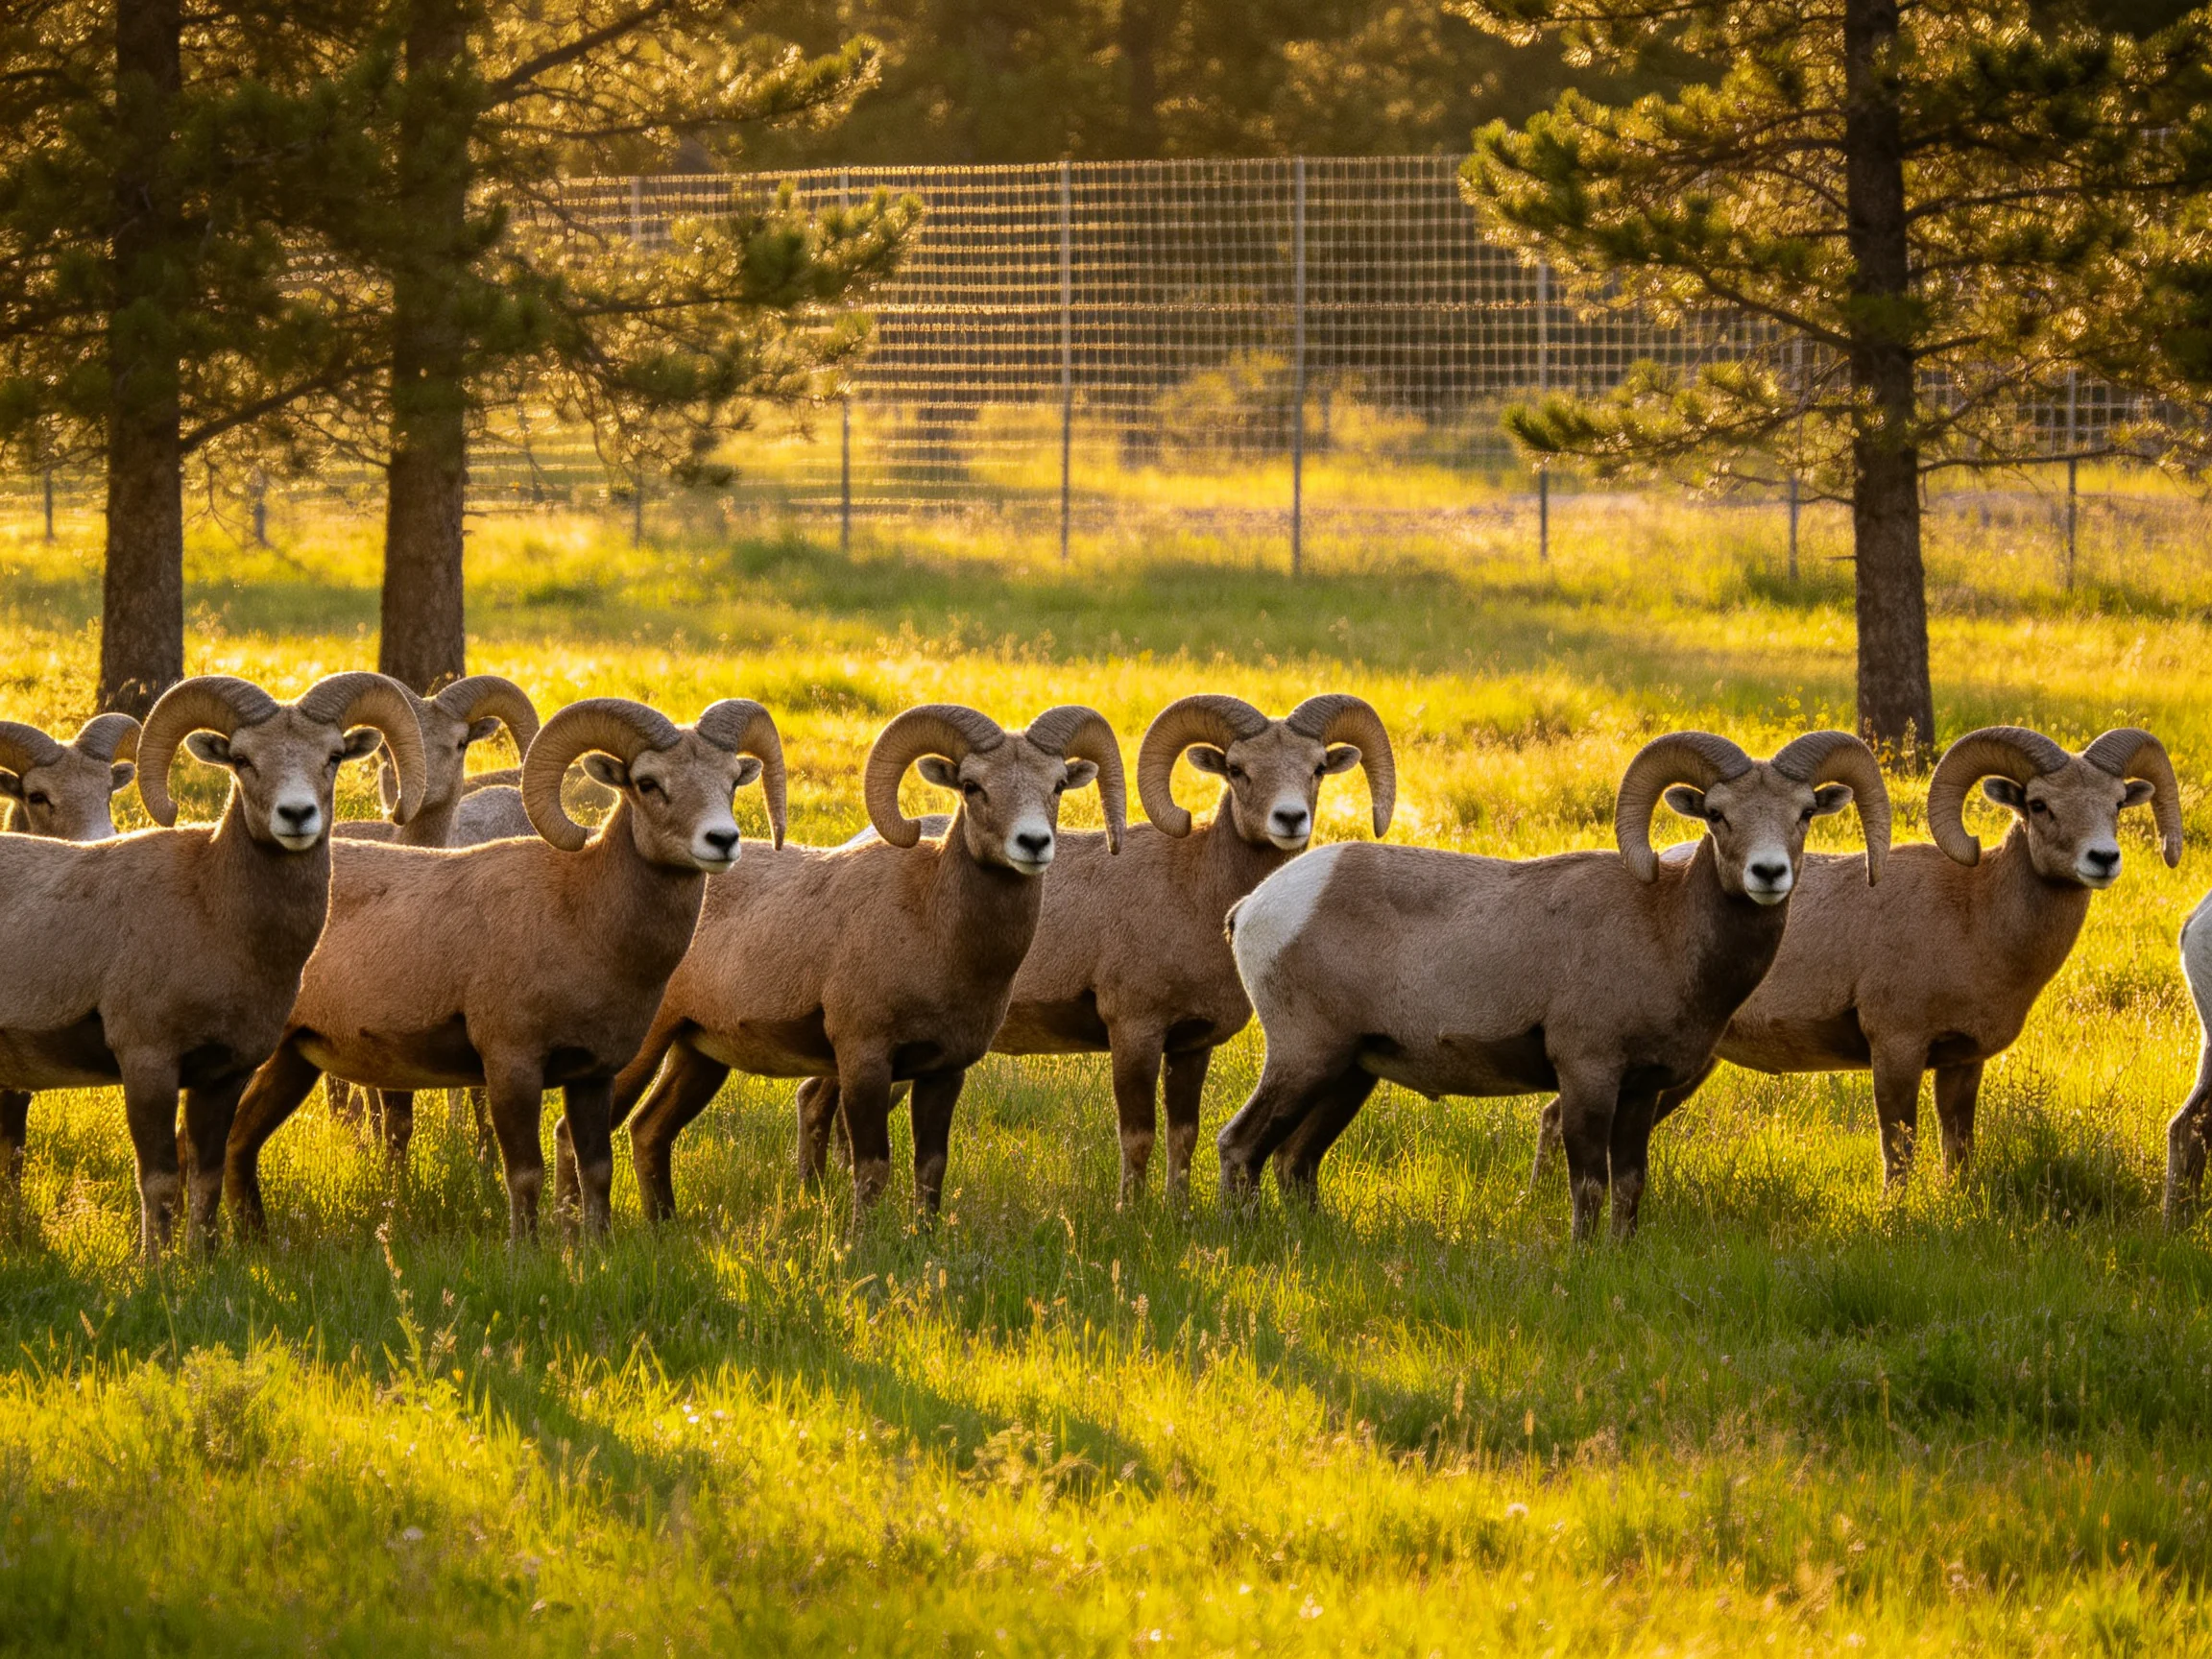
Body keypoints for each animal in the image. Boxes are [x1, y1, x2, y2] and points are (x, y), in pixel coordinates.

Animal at [222, 696, 787, 1241]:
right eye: (648, 783)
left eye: (731, 780)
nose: (723, 840)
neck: (581, 914)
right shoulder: (511, 1065)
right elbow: (524, 1173)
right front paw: (526, 1253)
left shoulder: (594, 1074)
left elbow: (596, 1171)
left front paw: (596, 1251)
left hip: (293, 1059)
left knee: (239, 1140)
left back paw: (254, 1243)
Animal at [604, 702, 1127, 1224]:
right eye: (972, 786)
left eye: (1057, 785)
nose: (1033, 844)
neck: (933, 926)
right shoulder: (864, 1059)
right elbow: (872, 1168)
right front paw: (863, 1238)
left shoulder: (944, 1070)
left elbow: (931, 1167)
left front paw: (923, 1235)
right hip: (648, 1045)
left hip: (698, 1055)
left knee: (649, 1130)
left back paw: (663, 1224)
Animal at [1216, 729, 1890, 1240]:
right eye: (1719, 815)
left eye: (1804, 813)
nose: (1768, 873)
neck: (1665, 928)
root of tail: (1252, 908)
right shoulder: (1587, 1072)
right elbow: (1588, 1184)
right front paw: (1583, 1259)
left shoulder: (1641, 1089)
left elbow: (1629, 1185)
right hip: (1306, 1057)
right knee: (1240, 1145)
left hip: (1349, 1072)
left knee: (1296, 1161)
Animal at [1527, 725, 2182, 1196]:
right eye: (2040, 804)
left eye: (2118, 803)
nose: (2103, 859)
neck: (1976, 915)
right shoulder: (1896, 1047)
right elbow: (1900, 1151)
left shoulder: (1962, 1063)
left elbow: (1958, 1152)